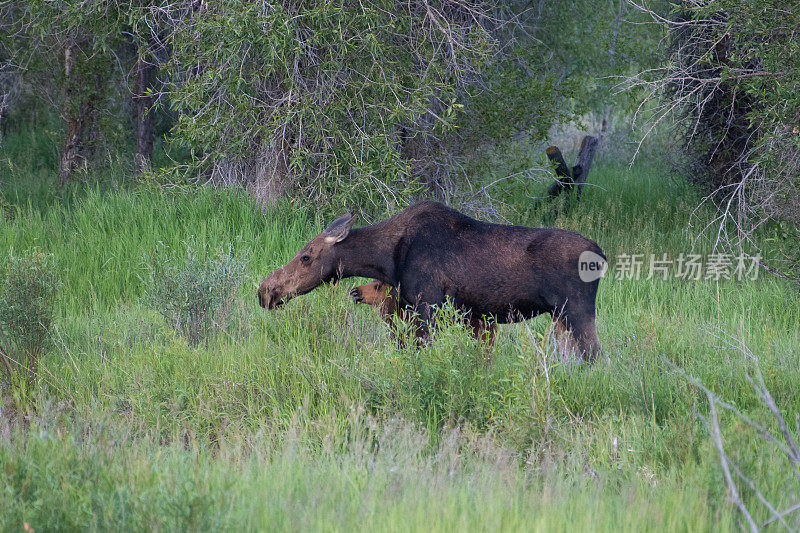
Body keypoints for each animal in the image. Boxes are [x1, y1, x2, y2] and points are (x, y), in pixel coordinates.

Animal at [260, 201, 608, 362]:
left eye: (306, 257)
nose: (266, 291)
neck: (389, 259)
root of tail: (602, 256)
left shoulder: (427, 306)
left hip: (576, 311)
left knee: (596, 357)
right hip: (561, 318)